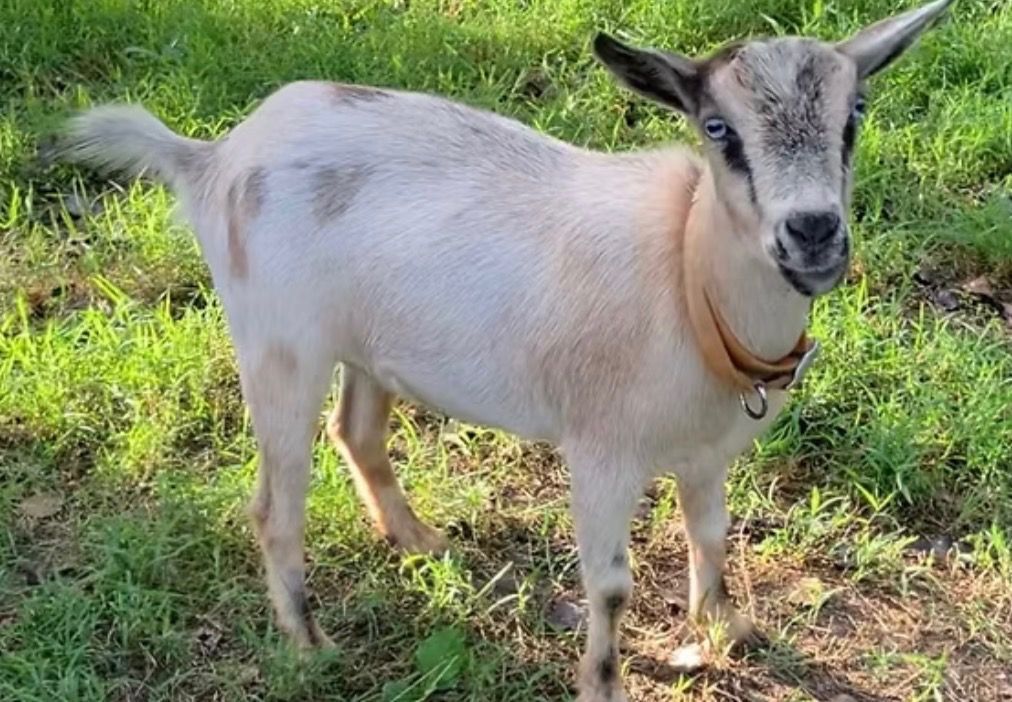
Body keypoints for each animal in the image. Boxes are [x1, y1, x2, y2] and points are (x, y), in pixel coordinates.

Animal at [59, 1, 953, 699]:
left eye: (853, 117)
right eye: (717, 128)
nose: (813, 233)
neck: (686, 279)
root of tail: (211, 158)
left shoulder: (705, 454)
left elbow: (711, 537)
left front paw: (728, 631)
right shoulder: (601, 451)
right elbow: (611, 586)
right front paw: (603, 684)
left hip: (368, 345)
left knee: (358, 432)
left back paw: (418, 541)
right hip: (277, 343)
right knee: (276, 504)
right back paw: (310, 647)